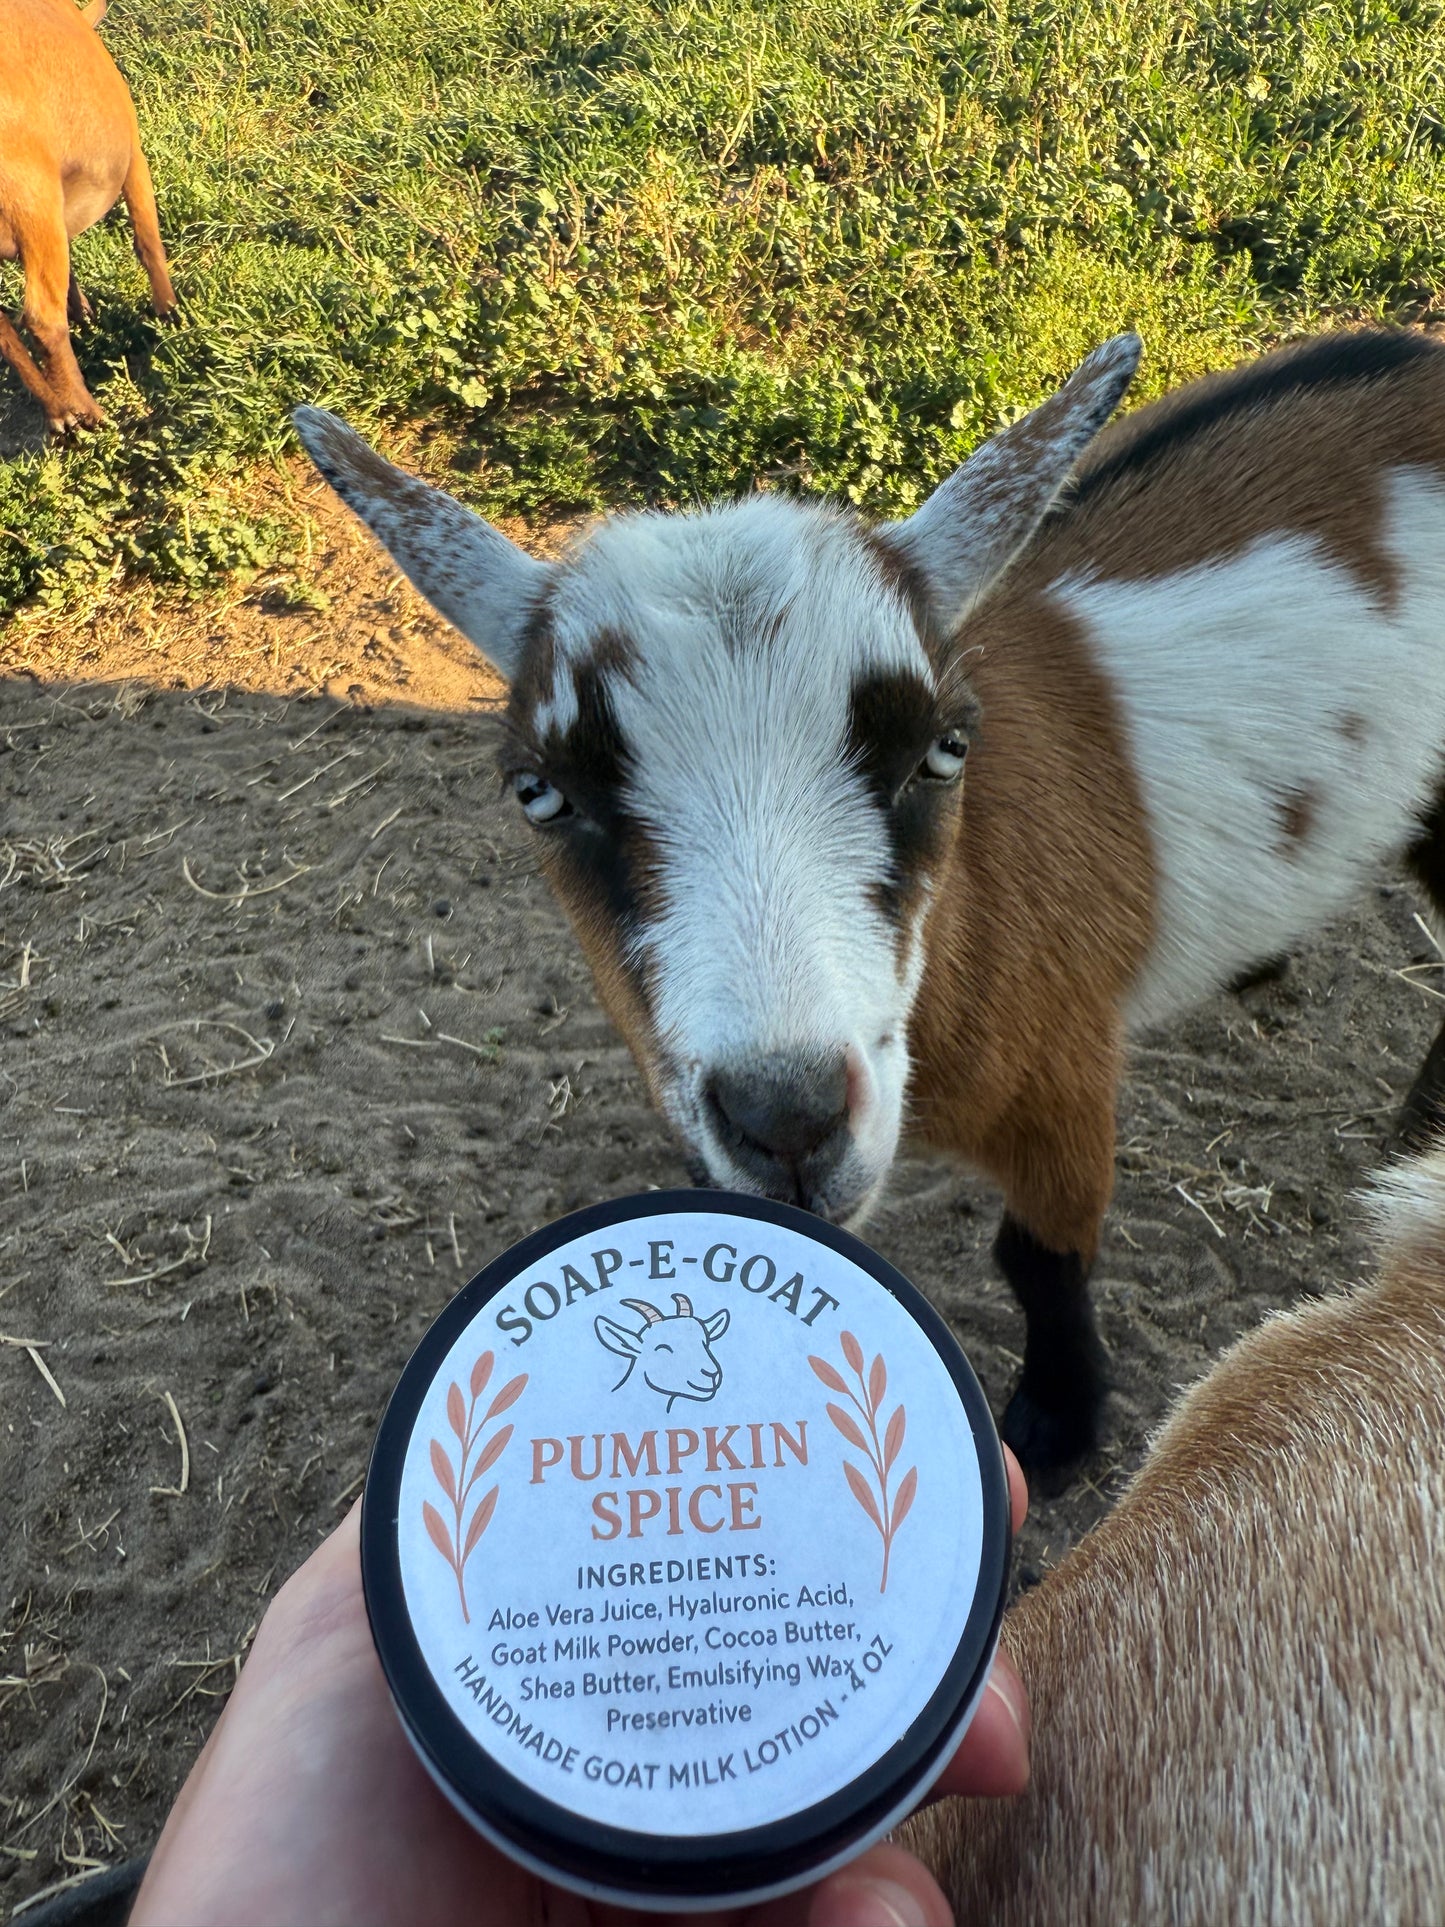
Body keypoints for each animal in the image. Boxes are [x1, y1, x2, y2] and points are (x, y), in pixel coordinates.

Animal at [0, 0, 175, 432]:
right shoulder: (133, 152)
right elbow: (148, 240)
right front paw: (170, 314)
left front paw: (84, 314)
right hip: (34, 199)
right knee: (41, 319)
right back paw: (87, 412)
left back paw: (58, 412)